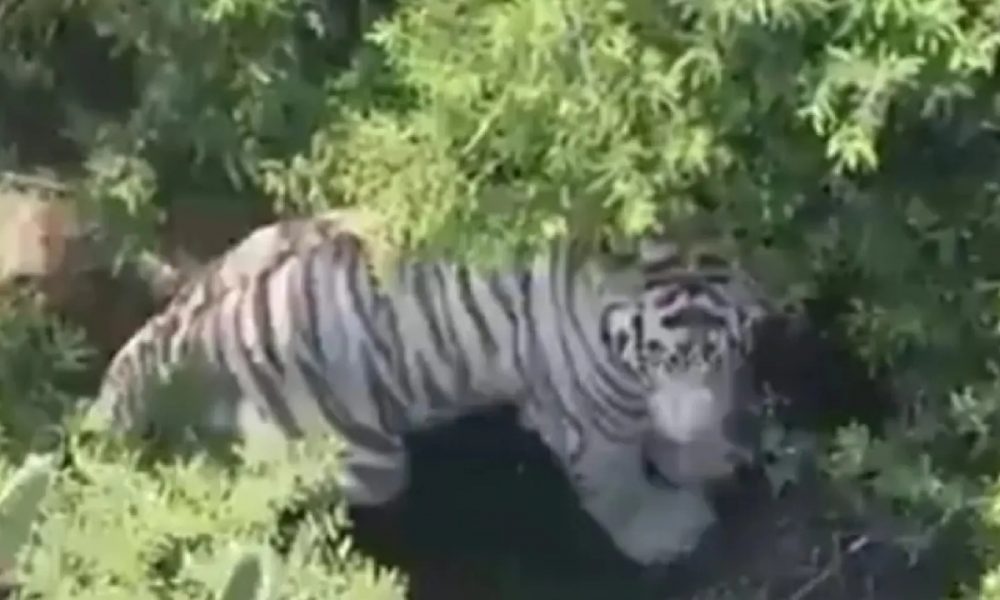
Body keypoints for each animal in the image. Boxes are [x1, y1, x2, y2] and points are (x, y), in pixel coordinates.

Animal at [82, 209, 772, 566]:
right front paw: (668, 532)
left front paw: (708, 457)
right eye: (661, 356)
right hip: (363, 459)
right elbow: (619, 486)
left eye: (722, 353)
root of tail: (192, 324)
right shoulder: (589, 419)